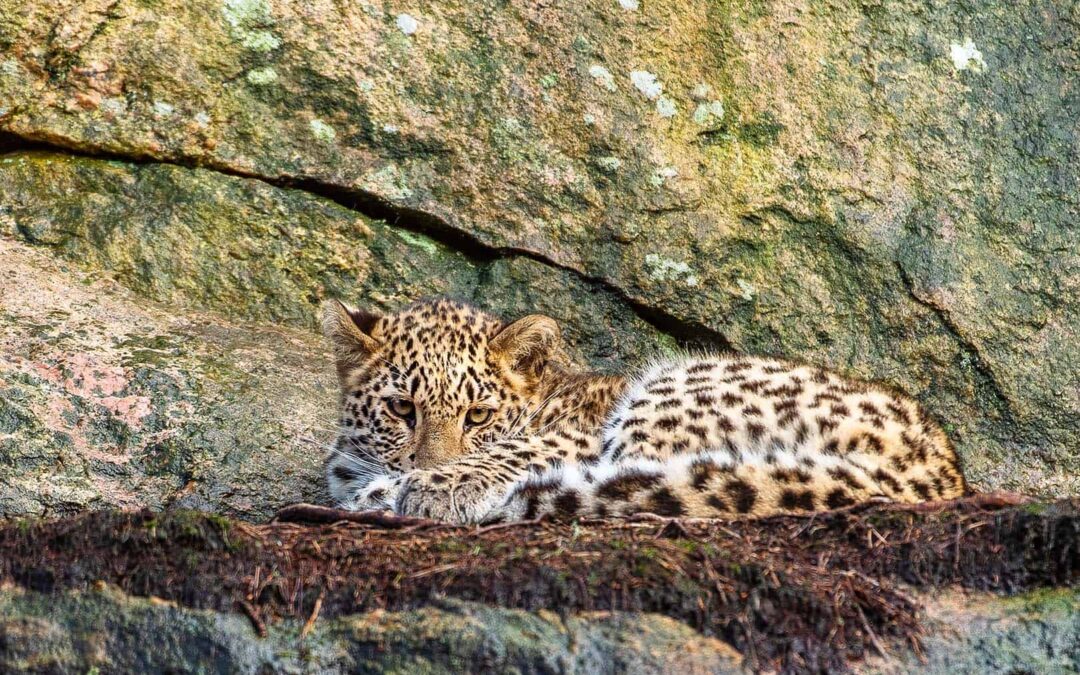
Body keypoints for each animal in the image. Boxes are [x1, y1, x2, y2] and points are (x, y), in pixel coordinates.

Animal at [323, 297, 967, 525]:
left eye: (478, 416)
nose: (429, 463)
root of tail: (935, 473)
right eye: (401, 408)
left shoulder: (576, 434)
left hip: (668, 396)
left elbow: (514, 451)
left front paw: (426, 486)